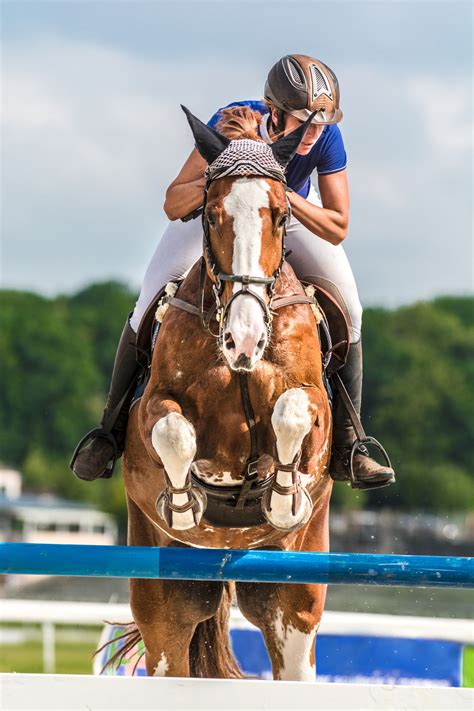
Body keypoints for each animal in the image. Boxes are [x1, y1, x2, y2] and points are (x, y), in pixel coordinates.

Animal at [118, 108, 334, 680]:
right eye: (211, 215)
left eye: (280, 217)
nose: (244, 339)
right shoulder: (155, 404)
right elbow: (174, 431)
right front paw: (184, 504)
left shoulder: (316, 404)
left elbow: (292, 412)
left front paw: (282, 496)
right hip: (165, 602)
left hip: (294, 596)